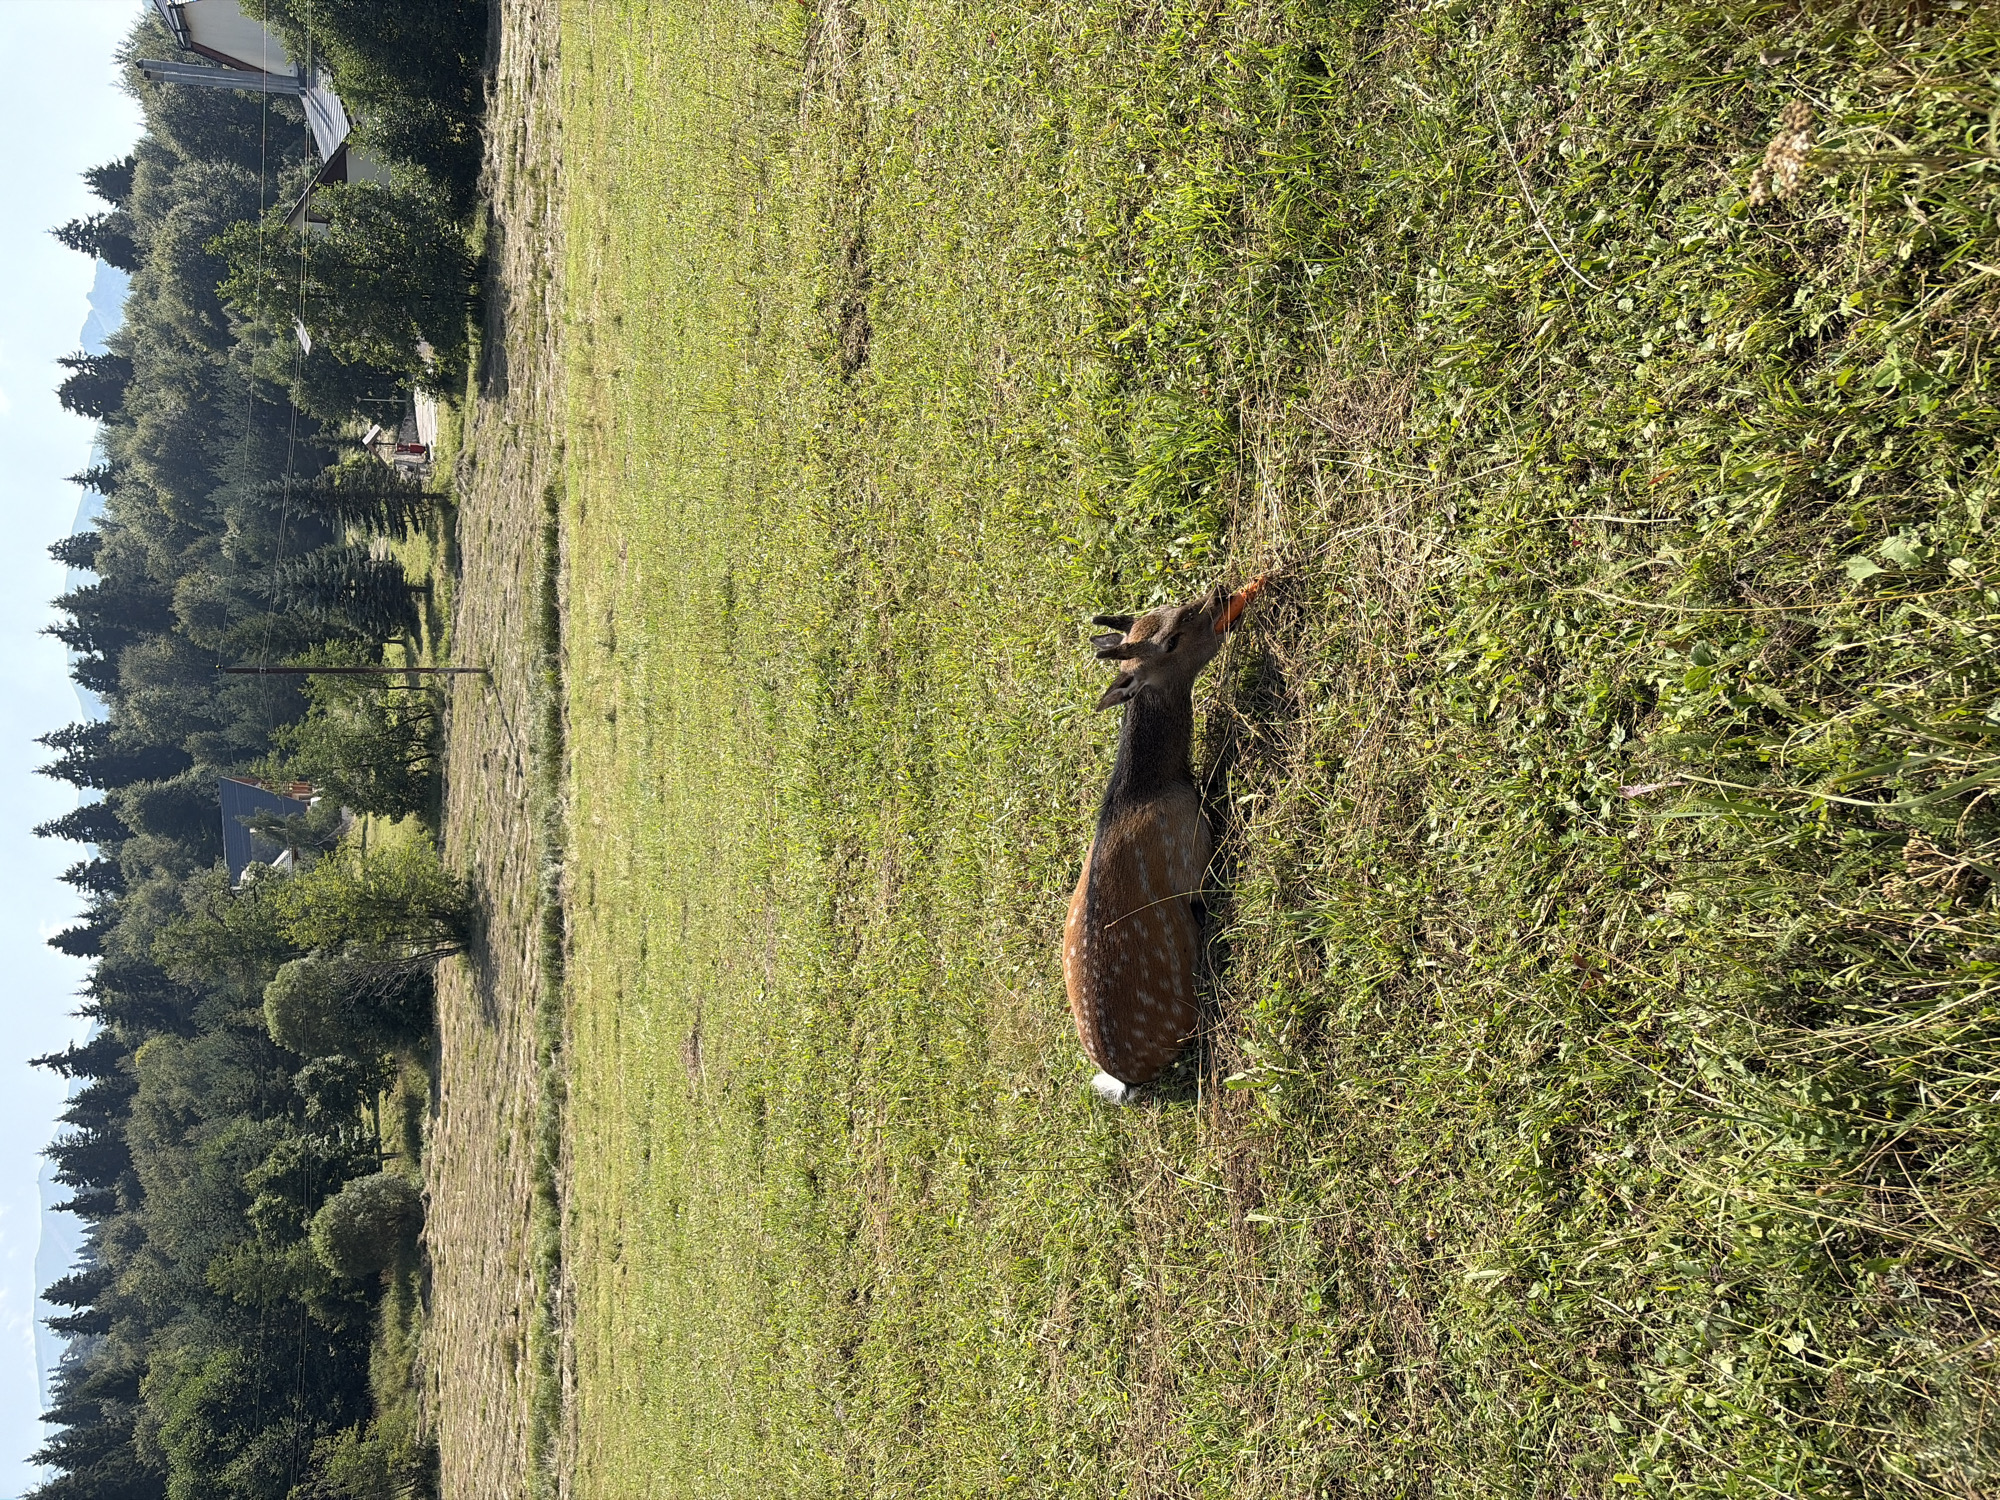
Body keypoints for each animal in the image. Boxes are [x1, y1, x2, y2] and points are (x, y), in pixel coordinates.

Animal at [1063, 576, 1266, 1102]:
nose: (1221, 594)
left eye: (1173, 606)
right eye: (1171, 640)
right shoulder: (1192, 852)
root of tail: (1126, 1081)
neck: (1156, 783)